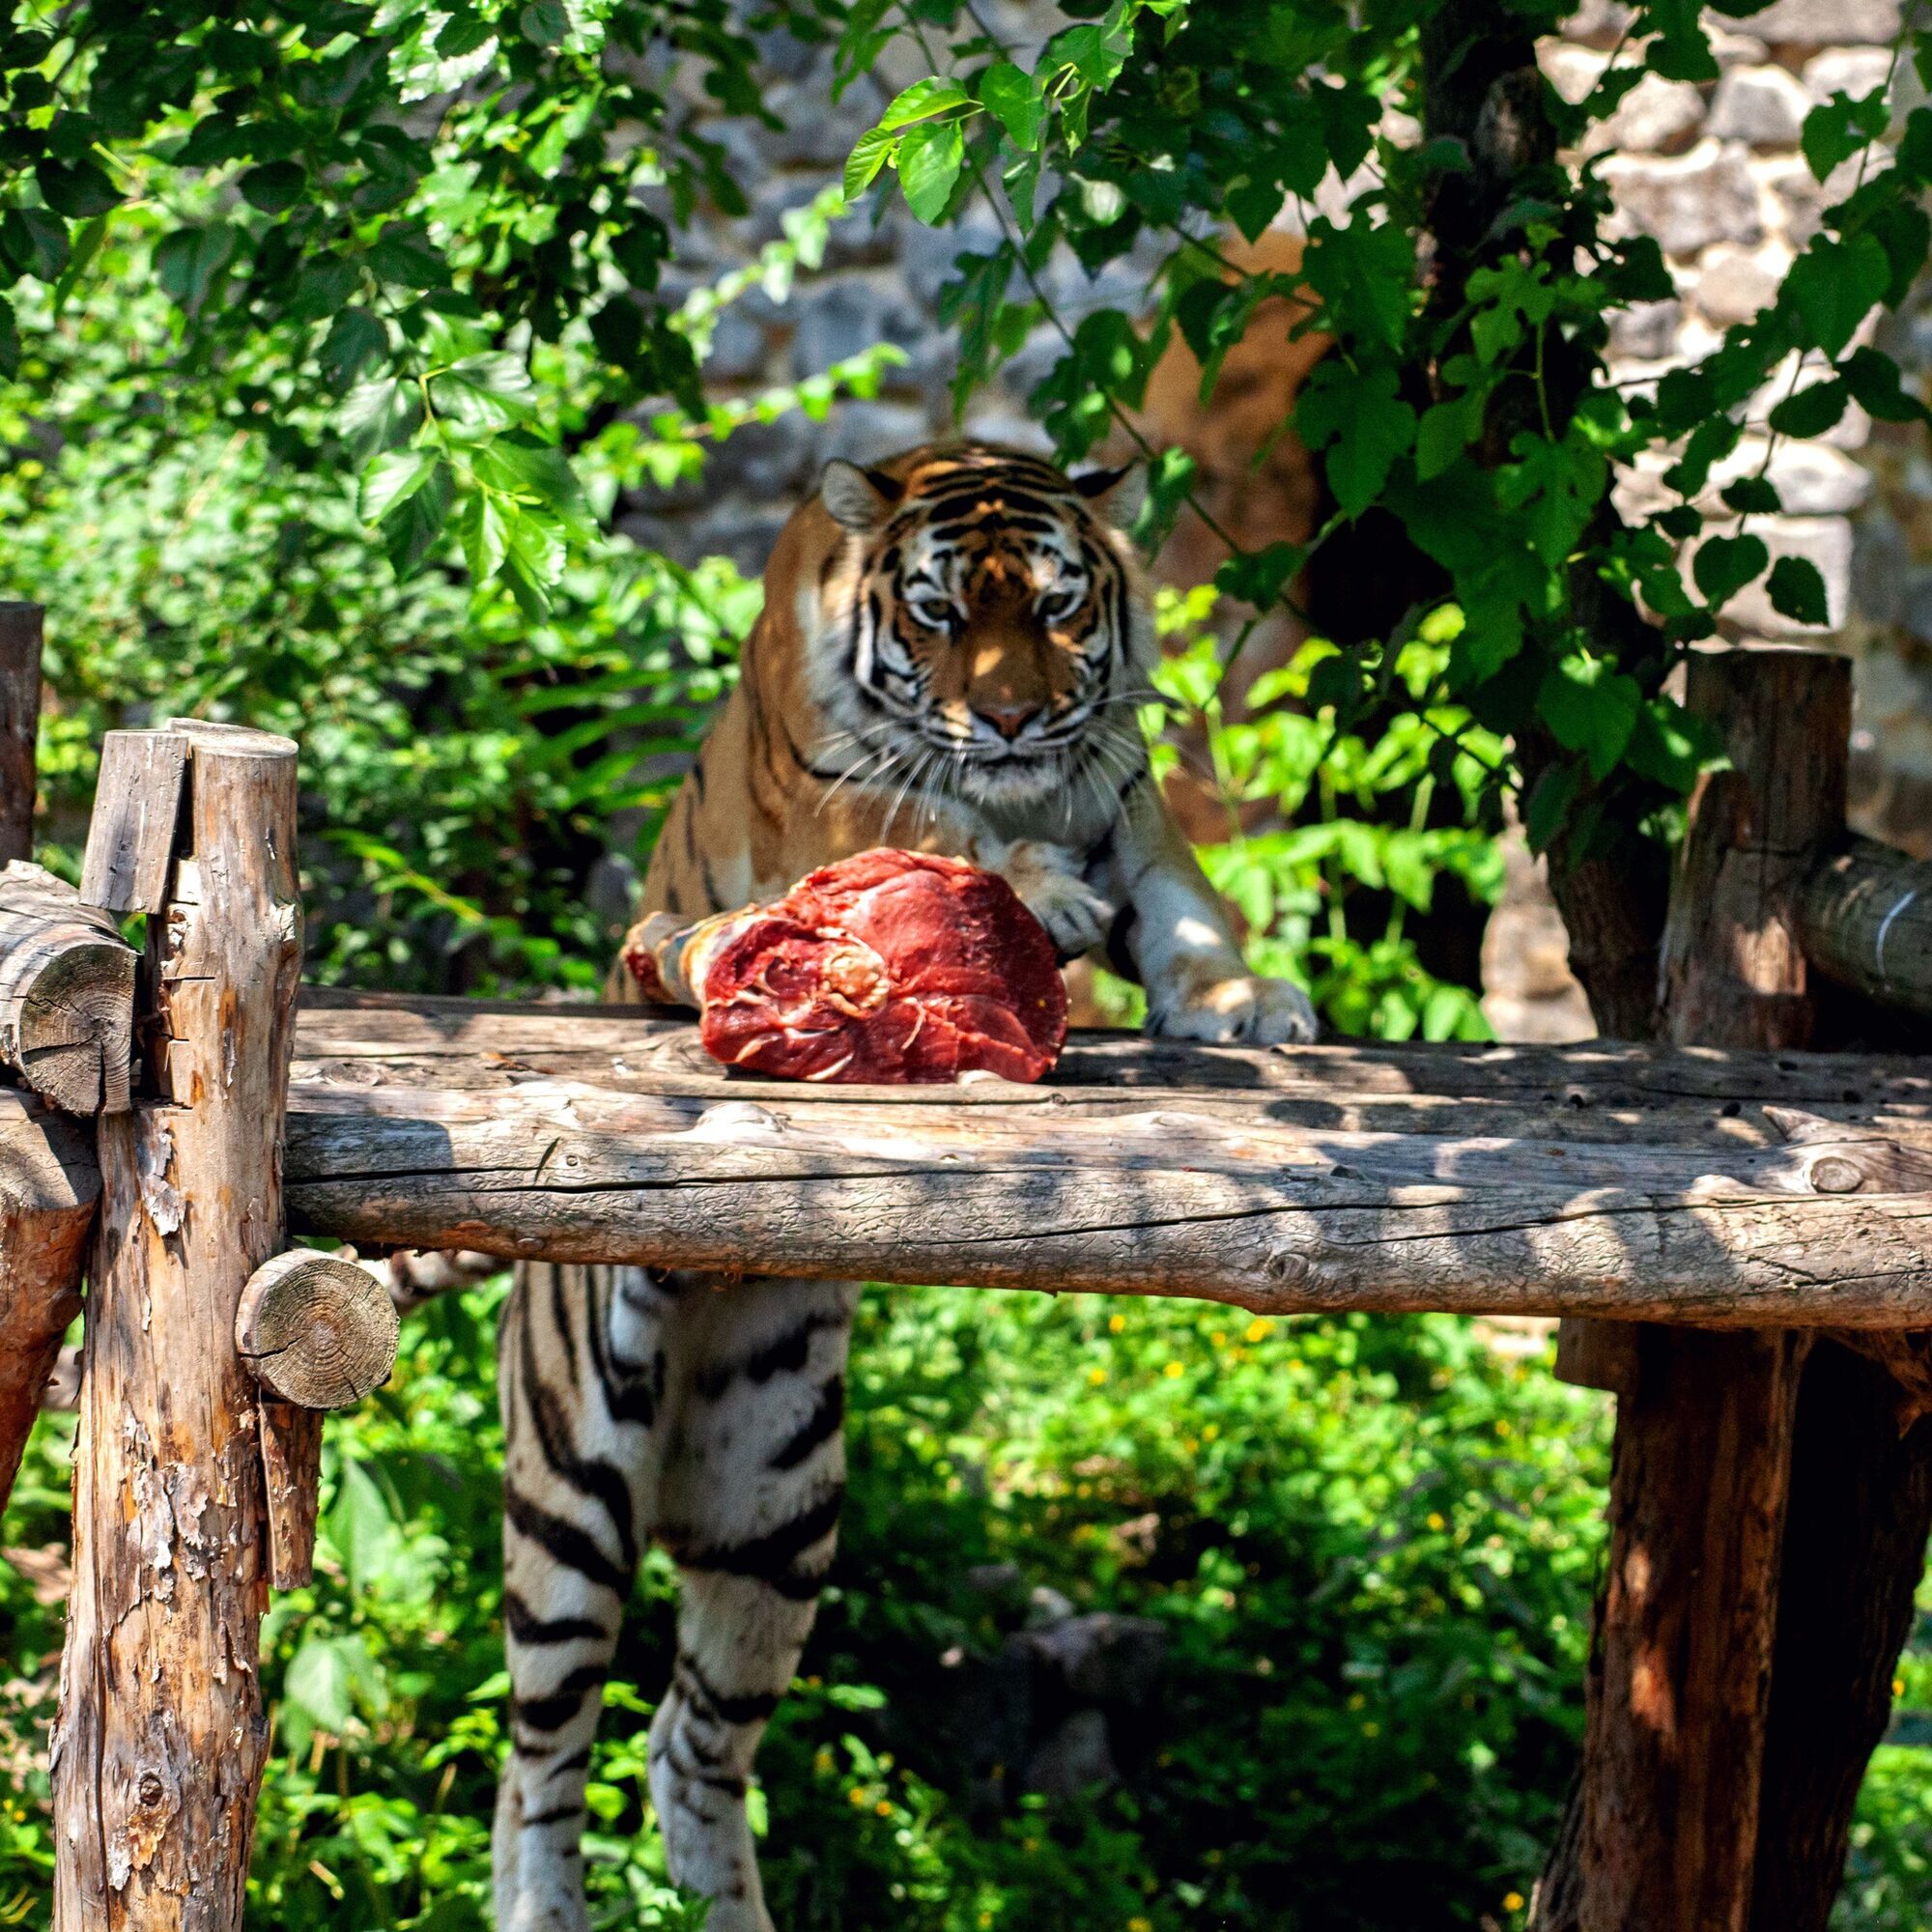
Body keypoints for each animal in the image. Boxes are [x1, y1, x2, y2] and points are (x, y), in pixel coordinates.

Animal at [491, 442, 1321, 1932]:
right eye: (936, 616)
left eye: (1055, 608)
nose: (1010, 719)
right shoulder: (852, 788)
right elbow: (935, 818)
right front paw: (1037, 892)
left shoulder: (1126, 792)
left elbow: (1185, 902)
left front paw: (1240, 1000)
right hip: (574, 1486)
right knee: (541, 1755)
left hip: (775, 1504)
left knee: (688, 1742)